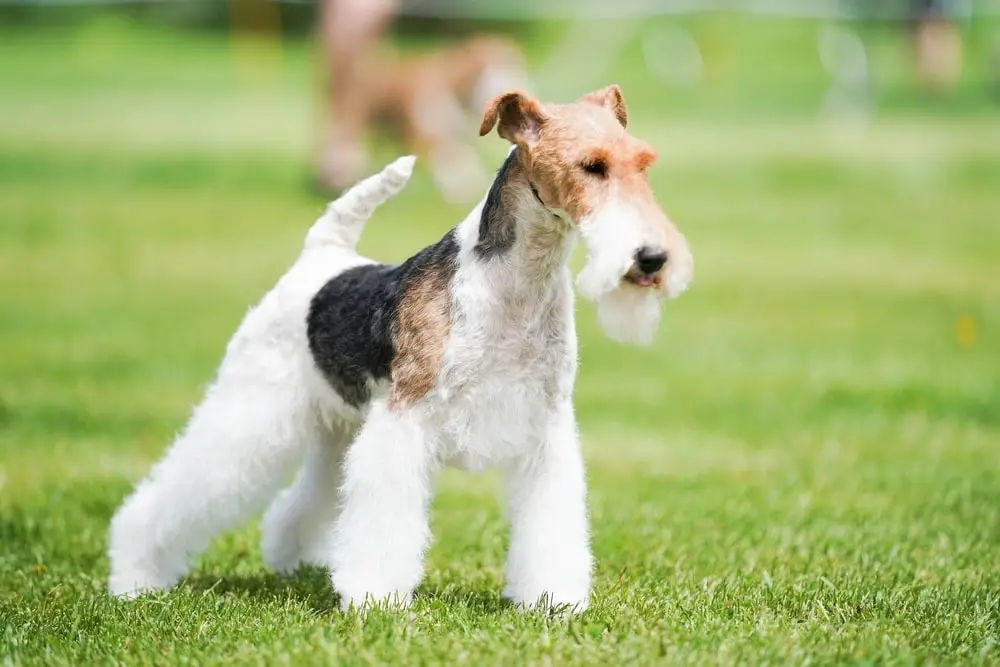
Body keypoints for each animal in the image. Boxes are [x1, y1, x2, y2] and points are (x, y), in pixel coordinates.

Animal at [107, 83, 688, 612]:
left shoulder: (545, 428)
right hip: (251, 409)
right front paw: (375, 598)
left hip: (337, 429)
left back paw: (295, 559)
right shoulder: (405, 419)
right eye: (592, 166)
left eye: (644, 163)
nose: (653, 259)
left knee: (301, 503)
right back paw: (135, 574)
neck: (516, 280)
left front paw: (553, 599)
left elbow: (550, 524)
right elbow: (385, 521)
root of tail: (322, 258)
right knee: (173, 493)